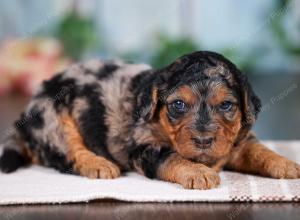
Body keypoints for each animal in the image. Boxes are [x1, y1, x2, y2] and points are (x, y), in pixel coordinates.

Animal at [0, 51, 300, 189]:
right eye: (178, 105)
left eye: (226, 105)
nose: (203, 140)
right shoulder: (144, 148)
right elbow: (173, 157)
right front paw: (198, 173)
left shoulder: (238, 140)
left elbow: (259, 150)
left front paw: (287, 164)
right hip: (53, 117)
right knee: (67, 153)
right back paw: (99, 164)